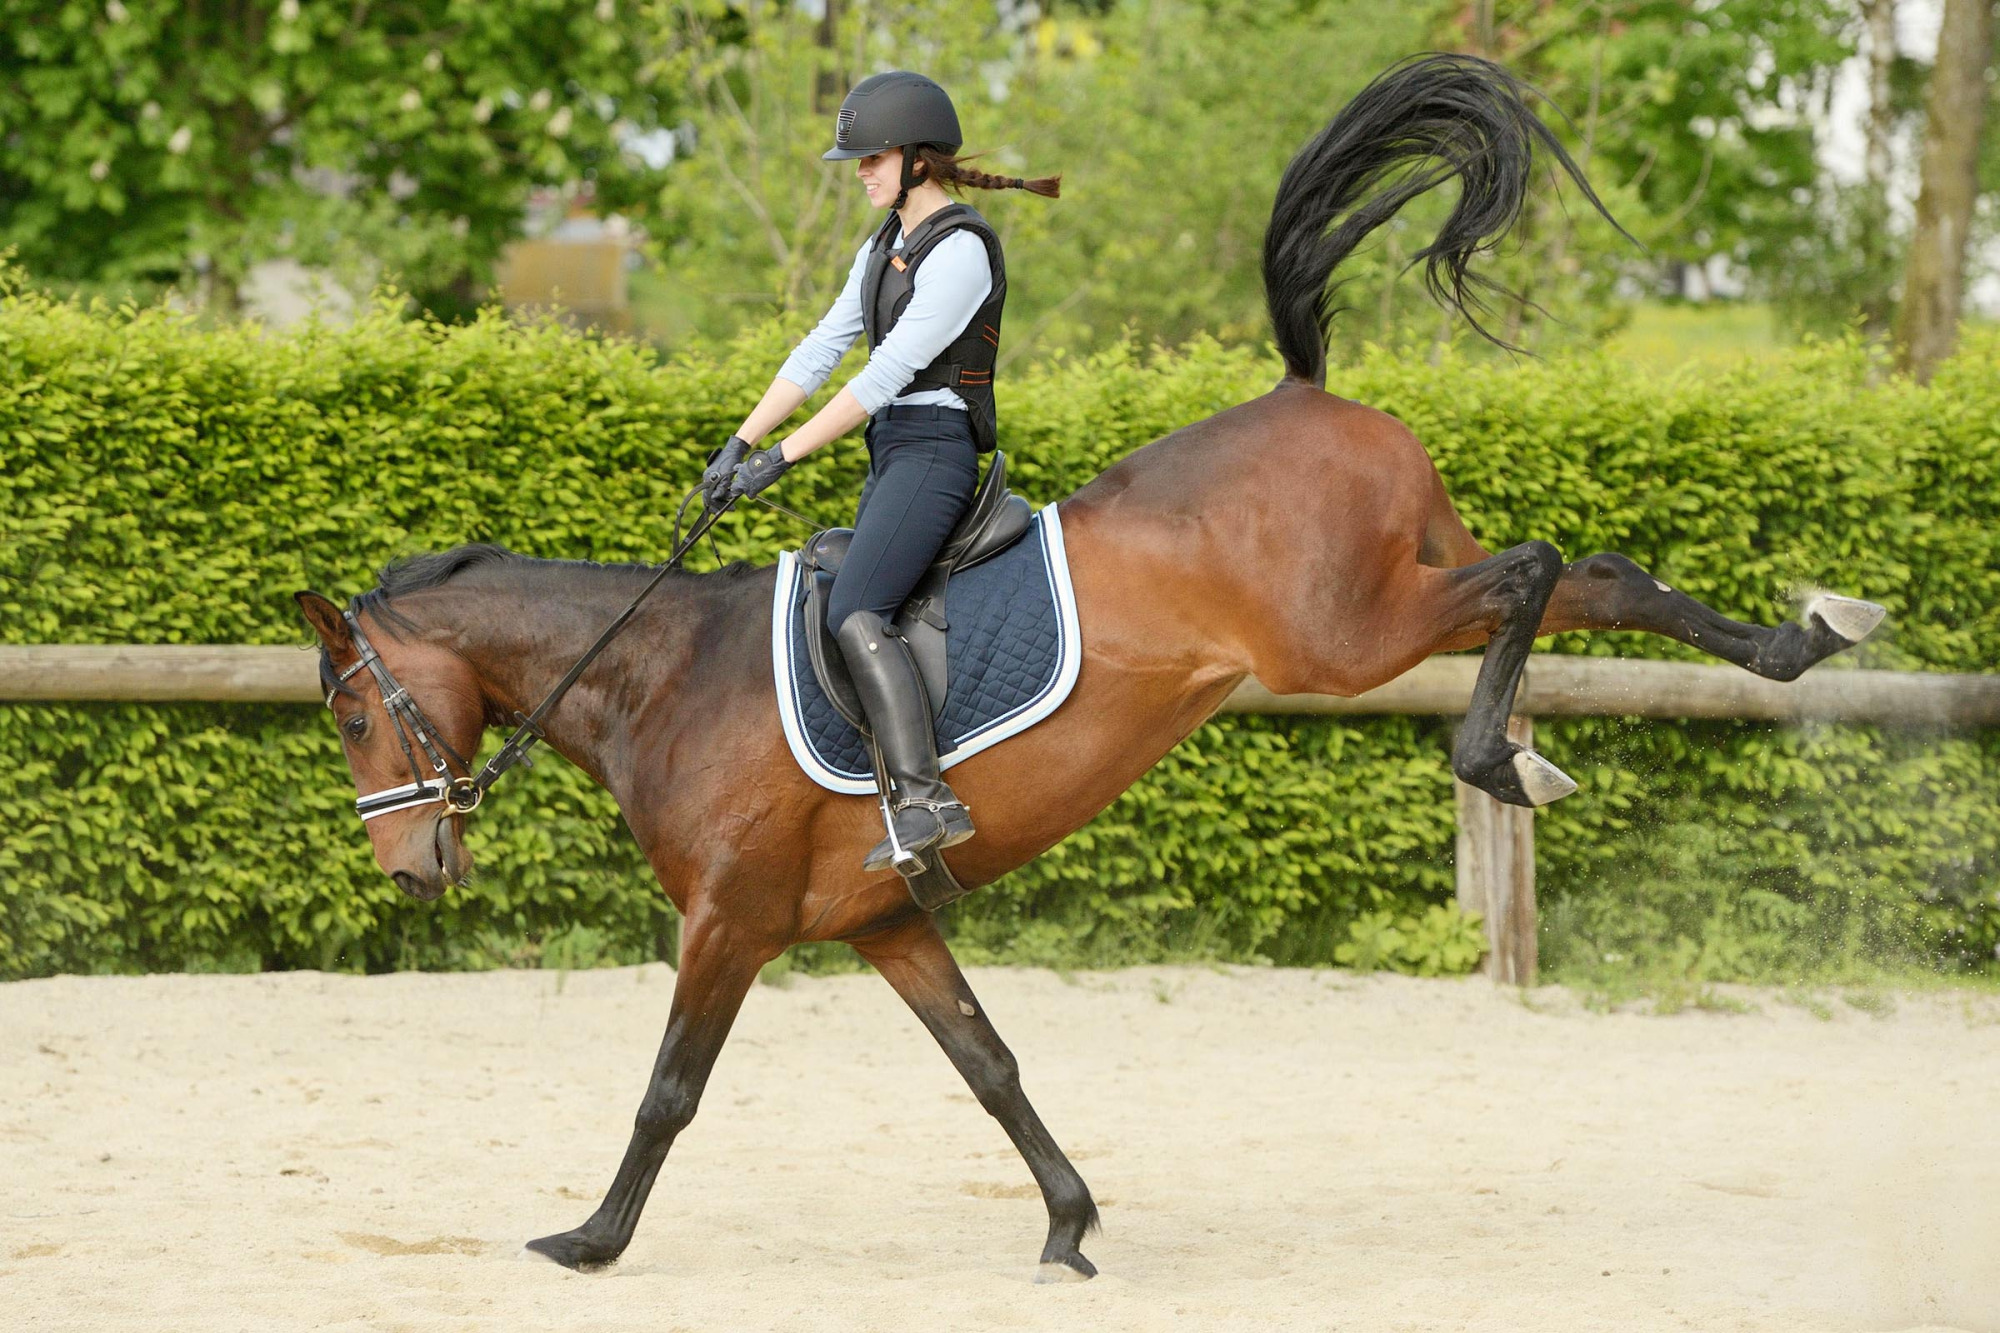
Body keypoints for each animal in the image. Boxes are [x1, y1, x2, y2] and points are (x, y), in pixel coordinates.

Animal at [296, 55, 1882, 1282]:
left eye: (359, 713)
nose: (411, 872)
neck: (667, 678)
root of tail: (1306, 395)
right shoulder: (885, 922)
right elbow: (989, 1063)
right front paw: (1069, 1223)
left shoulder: (731, 923)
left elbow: (669, 1092)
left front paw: (592, 1239)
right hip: (1399, 590)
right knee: (1594, 569)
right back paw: (1800, 638)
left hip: (1349, 633)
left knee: (1536, 569)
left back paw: (1505, 753)